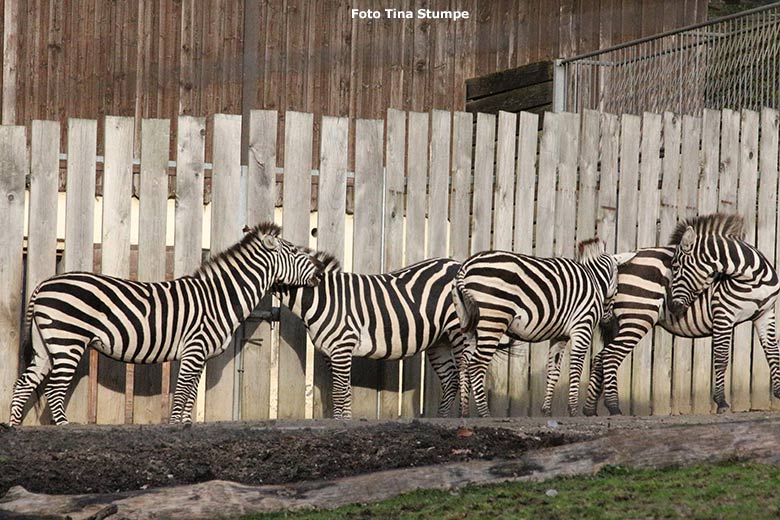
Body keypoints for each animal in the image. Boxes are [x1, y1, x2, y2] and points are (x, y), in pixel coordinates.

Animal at [9, 221, 320, 424]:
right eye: (295, 252)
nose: (319, 273)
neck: (219, 298)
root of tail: (43, 285)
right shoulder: (194, 349)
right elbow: (182, 393)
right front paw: (174, 428)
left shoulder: (200, 355)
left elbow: (191, 395)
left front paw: (185, 425)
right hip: (67, 340)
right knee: (54, 389)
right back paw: (64, 428)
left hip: (46, 346)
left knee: (24, 384)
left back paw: (14, 428)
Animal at [278, 252, 478, 418]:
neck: (323, 298)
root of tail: (458, 264)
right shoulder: (330, 352)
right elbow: (345, 391)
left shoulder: (342, 346)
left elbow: (339, 392)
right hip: (439, 341)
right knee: (451, 379)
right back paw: (440, 418)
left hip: (458, 332)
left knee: (465, 374)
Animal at [450, 238, 628, 416]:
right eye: (618, 286)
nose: (609, 320)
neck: (594, 279)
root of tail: (466, 266)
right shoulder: (583, 325)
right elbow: (576, 366)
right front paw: (573, 410)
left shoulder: (560, 335)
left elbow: (554, 370)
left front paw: (546, 410)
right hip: (494, 319)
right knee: (476, 365)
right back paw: (485, 413)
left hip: (469, 325)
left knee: (464, 363)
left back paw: (464, 412)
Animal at [668, 213, 780, 412]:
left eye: (675, 267)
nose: (672, 307)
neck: (754, 279)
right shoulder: (723, 314)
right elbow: (721, 358)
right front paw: (721, 401)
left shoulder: (766, 313)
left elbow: (773, 352)